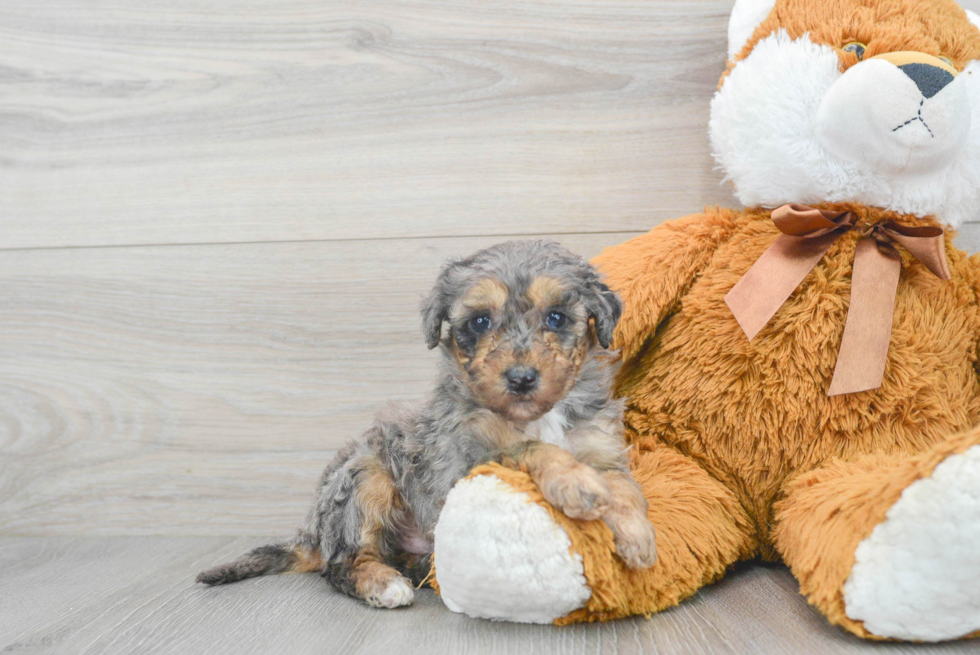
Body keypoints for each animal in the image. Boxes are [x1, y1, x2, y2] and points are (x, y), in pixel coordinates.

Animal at [197, 241, 660, 608]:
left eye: (557, 318)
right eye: (480, 321)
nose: (521, 378)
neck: (537, 416)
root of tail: (312, 533)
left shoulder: (599, 446)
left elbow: (623, 488)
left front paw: (638, 536)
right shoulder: (465, 459)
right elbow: (531, 448)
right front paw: (576, 484)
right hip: (365, 479)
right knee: (342, 562)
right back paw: (384, 584)